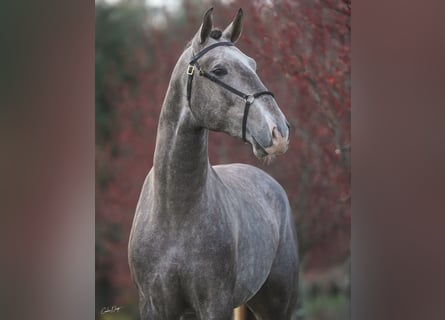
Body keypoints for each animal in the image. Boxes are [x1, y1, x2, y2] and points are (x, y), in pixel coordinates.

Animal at [127, 7, 298, 320]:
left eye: (253, 64)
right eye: (219, 70)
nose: (279, 131)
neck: (174, 213)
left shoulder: (214, 303)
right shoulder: (154, 305)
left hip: (277, 305)